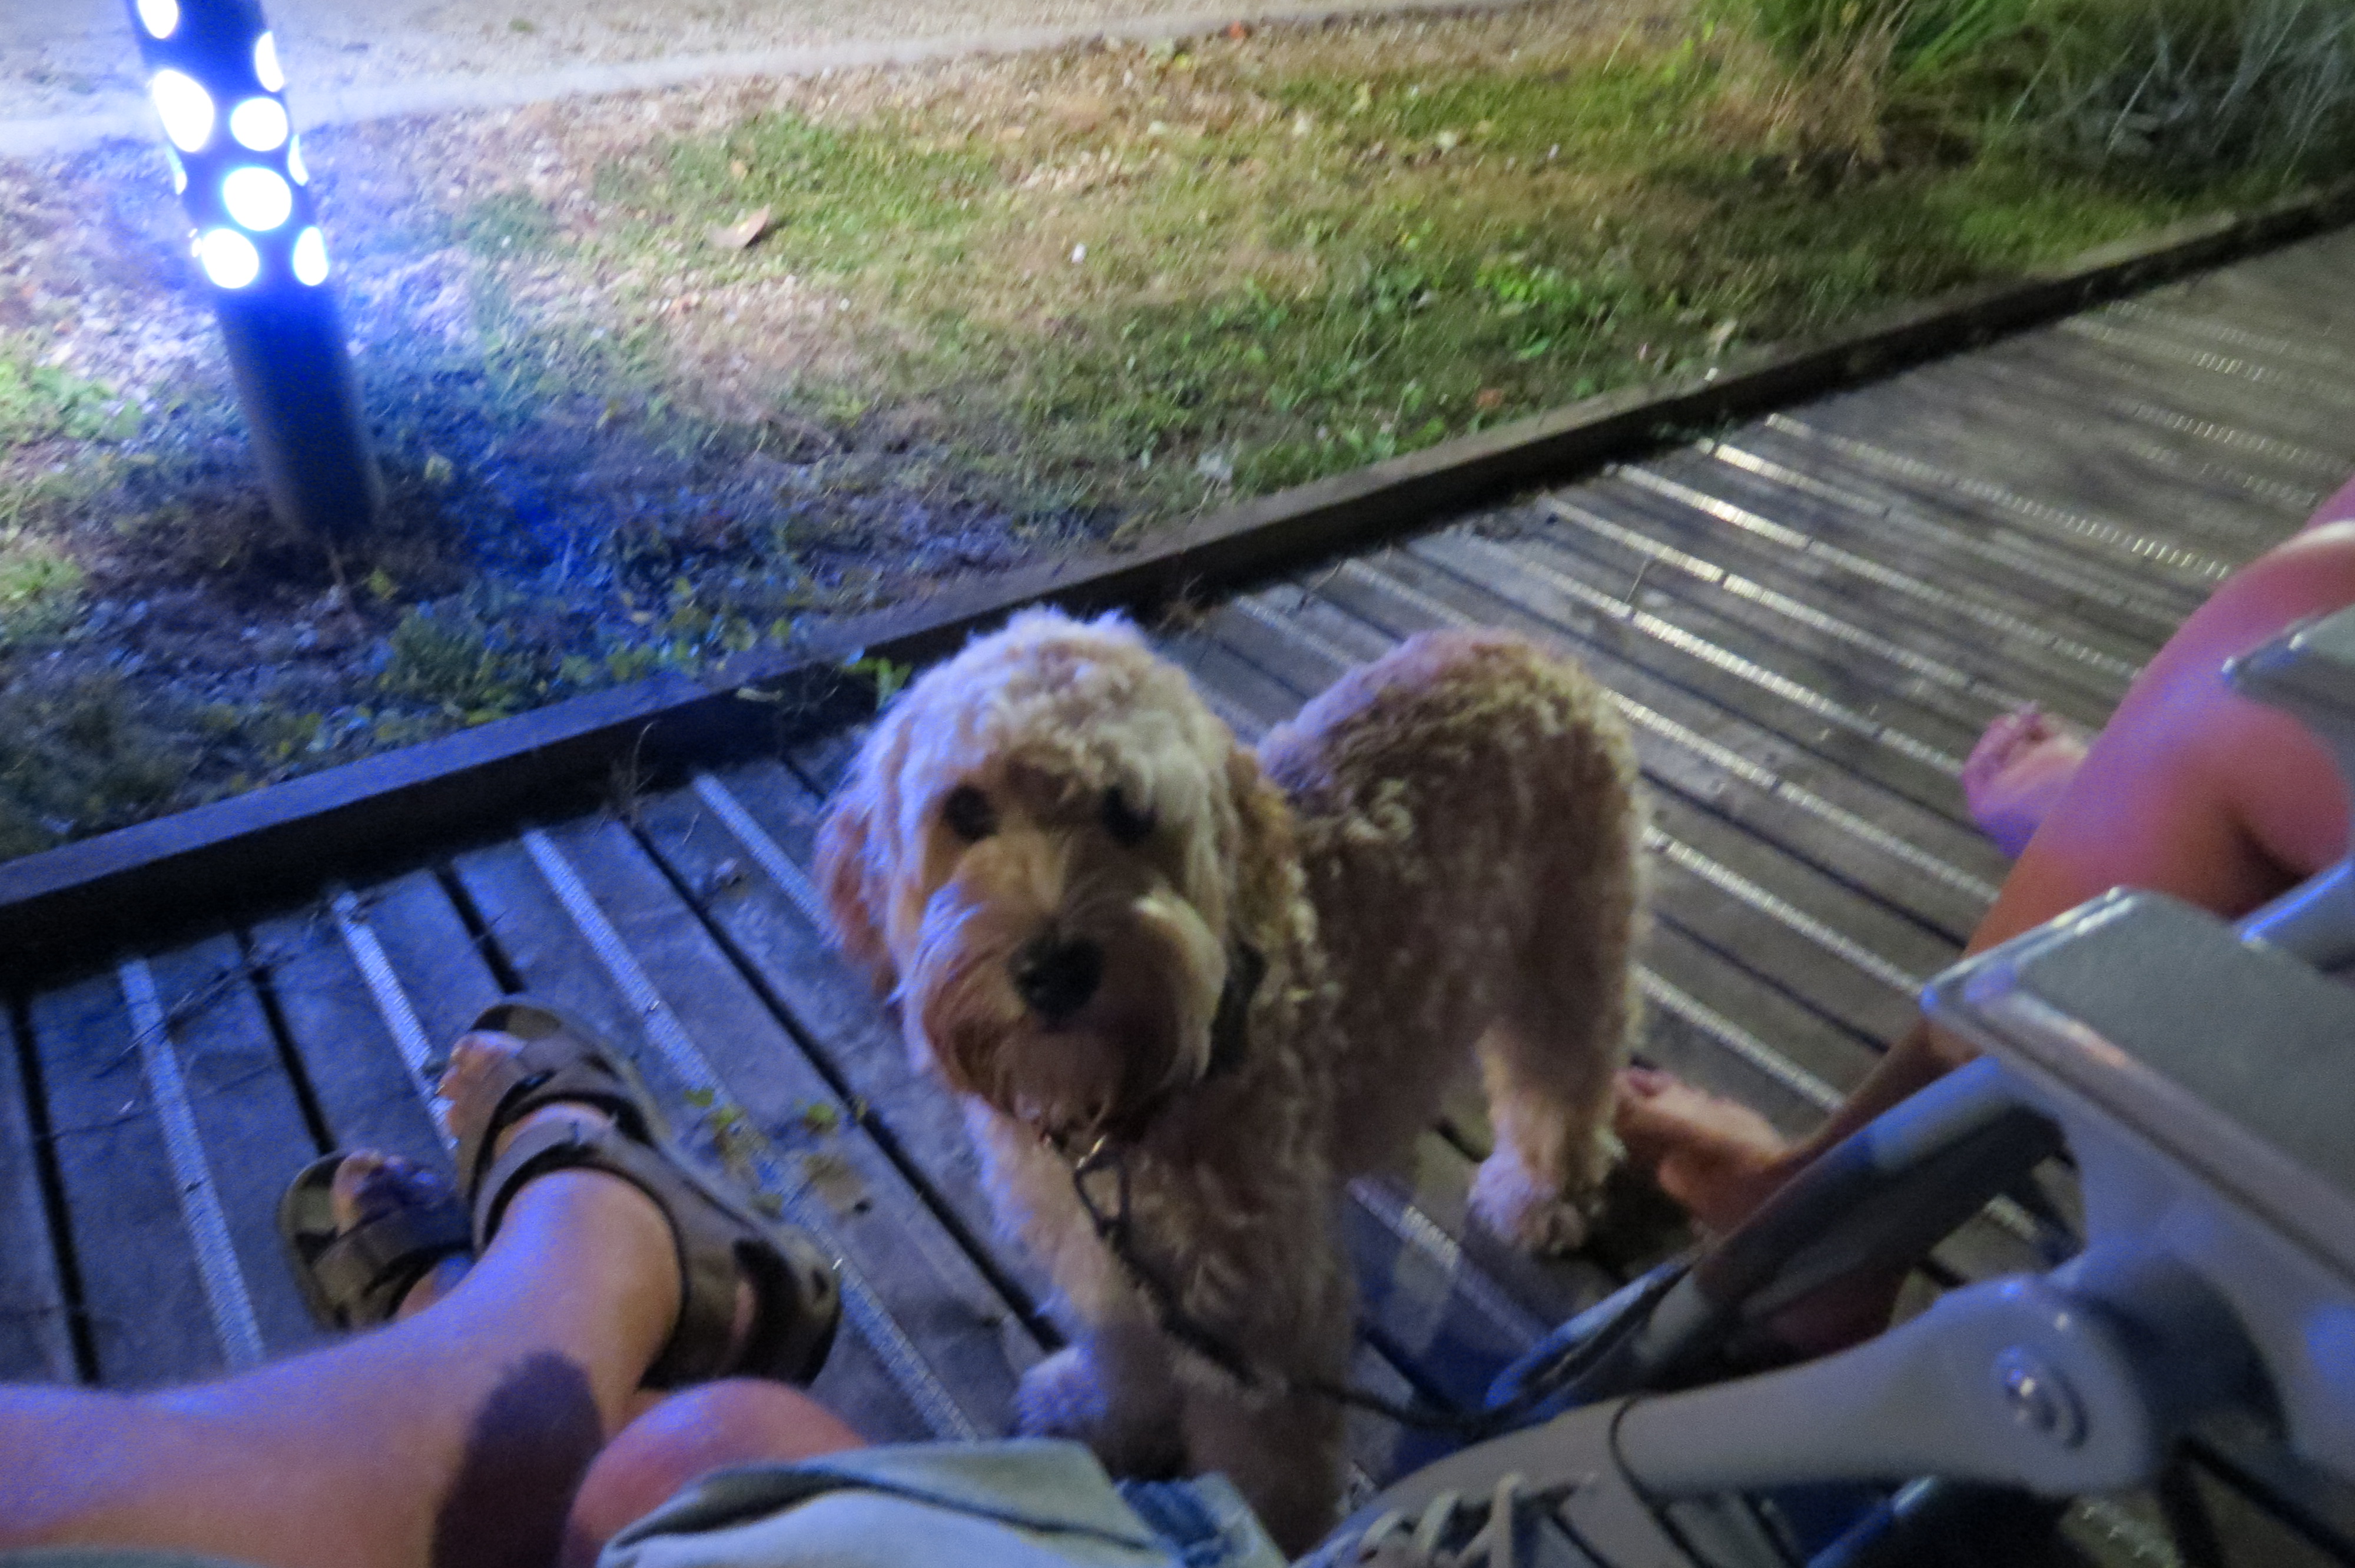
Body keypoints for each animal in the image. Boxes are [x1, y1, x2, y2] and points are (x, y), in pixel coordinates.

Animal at [817, 608, 1645, 1551]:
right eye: (964, 809)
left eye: (1128, 810)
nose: (1055, 968)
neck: (1129, 1102)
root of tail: (1530, 648)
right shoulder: (1105, 1259)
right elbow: (1124, 1356)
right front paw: (1103, 1414)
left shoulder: (1260, 1315)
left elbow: (1265, 1457)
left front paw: (1260, 1525)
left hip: (1569, 959)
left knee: (1564, 1086)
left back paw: (1544, 1195)